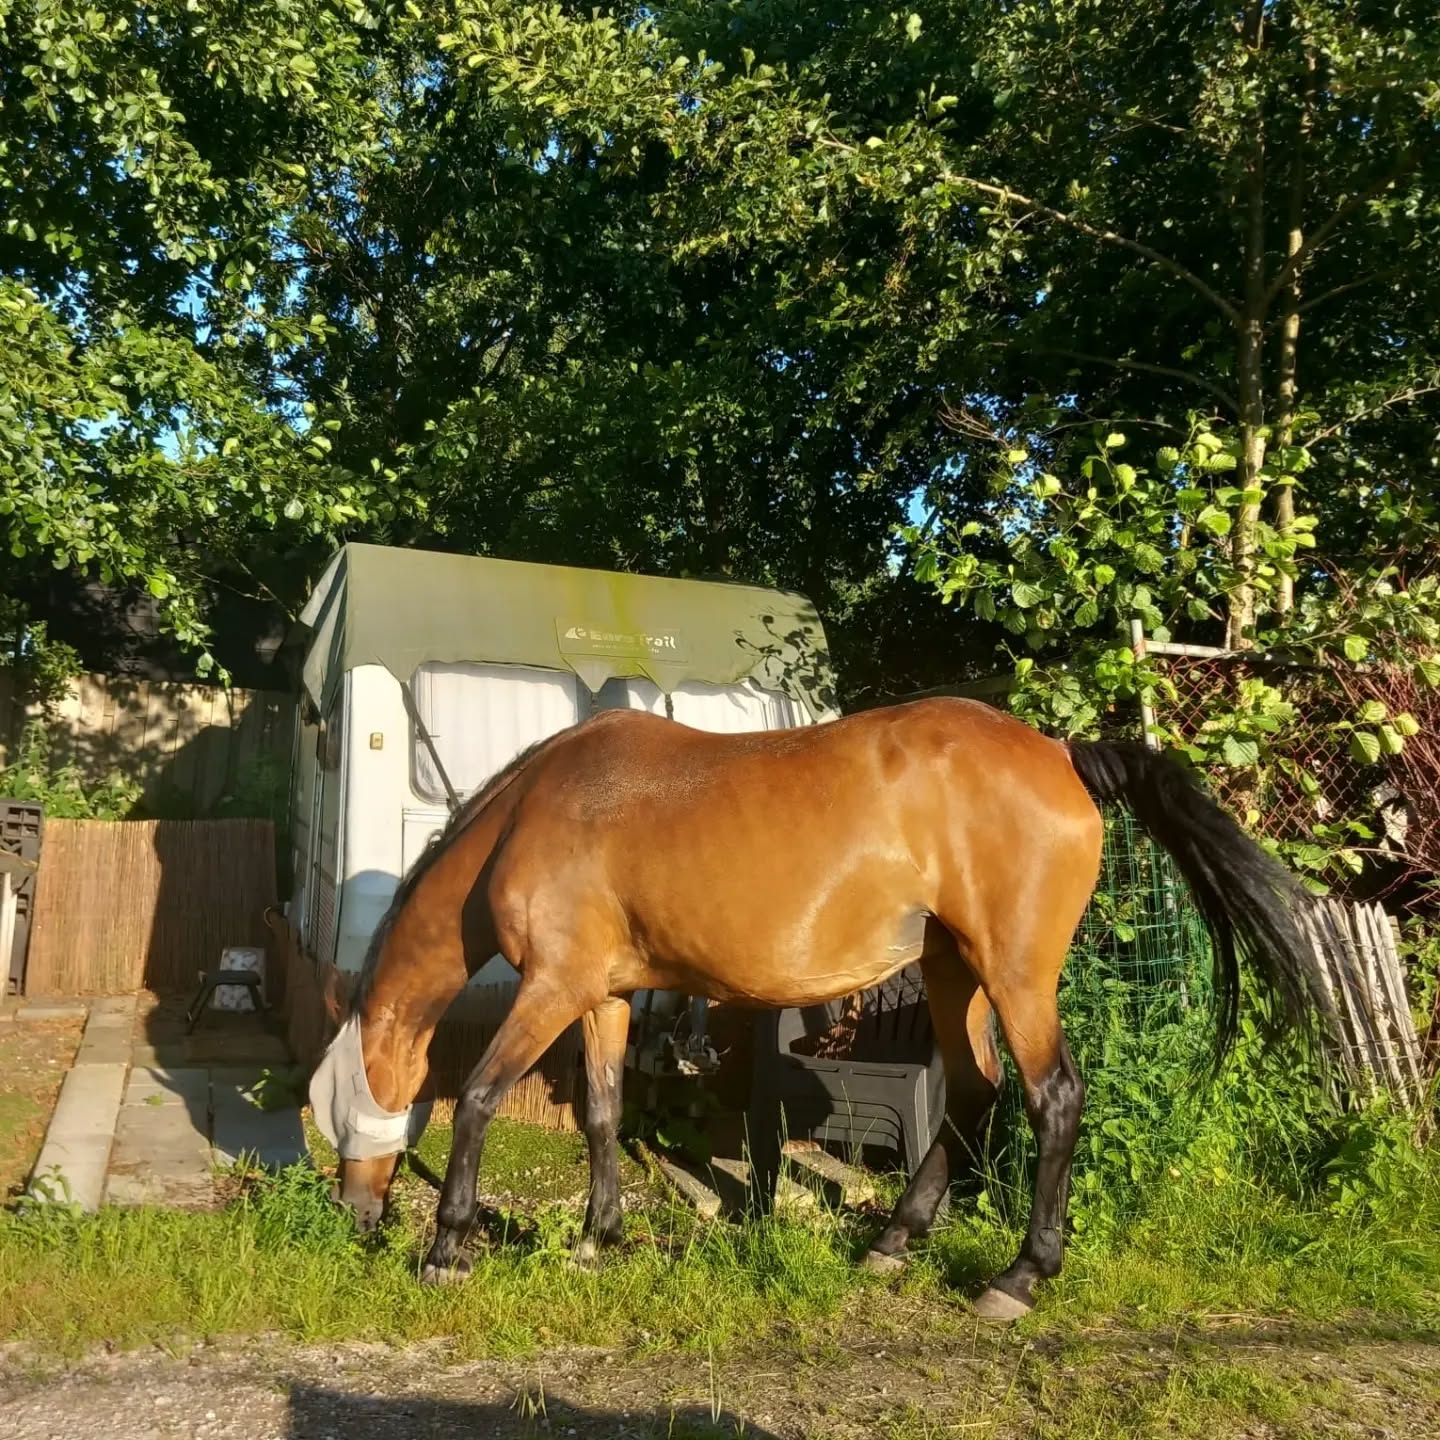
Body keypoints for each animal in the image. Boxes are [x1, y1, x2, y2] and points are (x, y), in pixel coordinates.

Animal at [308, 696, 1326, 1320]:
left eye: (335, 1102)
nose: (353, 1215)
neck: (539, 809)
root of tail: (1061, 753)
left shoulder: (551, 989)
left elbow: (478, 1097)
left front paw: (448, 1249)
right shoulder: (600, 995)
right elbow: (601, 1112)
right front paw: (601, 1239)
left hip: (1016, 977)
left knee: (1053, 1099)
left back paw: (1019, 1277)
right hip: (955, 975)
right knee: (973, 1094)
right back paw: (893, 1243)